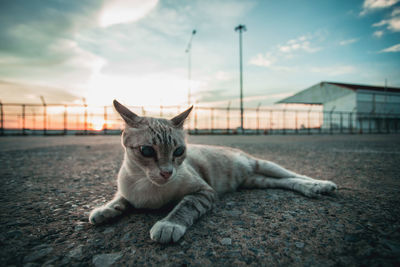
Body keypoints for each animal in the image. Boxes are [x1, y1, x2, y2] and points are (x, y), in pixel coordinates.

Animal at [90, 100, 338, 245]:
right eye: (147, 151)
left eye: (179, 151)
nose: (167, 173)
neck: (148, 188)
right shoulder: (127, 190)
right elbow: (119, 199)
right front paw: (104, 210)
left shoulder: (204, 192)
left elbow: (185, 206)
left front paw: (169, 225)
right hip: (257, 180)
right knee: (285, 182)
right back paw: (311, 189)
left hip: (263, 165)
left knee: (295, 175)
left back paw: (320, 185)